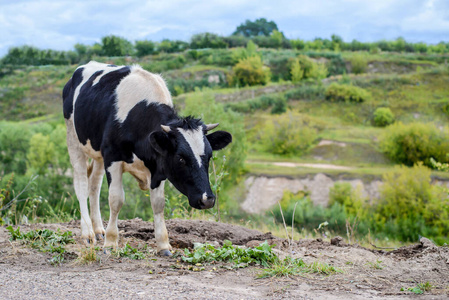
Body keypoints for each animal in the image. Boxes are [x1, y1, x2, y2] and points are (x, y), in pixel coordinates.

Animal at [62, 61, 231, 255]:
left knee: (94, 186)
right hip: (73, 139)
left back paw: (98, 230)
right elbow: (116, 200)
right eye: (181, 158)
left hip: (97, 153)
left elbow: (158, 204)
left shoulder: (158, 167)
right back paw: (87, 233)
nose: (207, 199)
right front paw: (111, 242)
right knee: (81, 184)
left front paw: (163, 244)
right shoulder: (112, 157)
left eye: (209, 156)